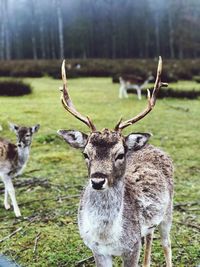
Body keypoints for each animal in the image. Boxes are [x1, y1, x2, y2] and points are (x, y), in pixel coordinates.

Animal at [57, 57, 173, 267]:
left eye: (120, 154)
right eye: (85, 154)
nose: (97, 181)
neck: (106, 236)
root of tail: (154, 147)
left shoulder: (132, 246)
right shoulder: (96, 249)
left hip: (168, 211)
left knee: (167, 243)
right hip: (150, 223)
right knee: (150, 236)